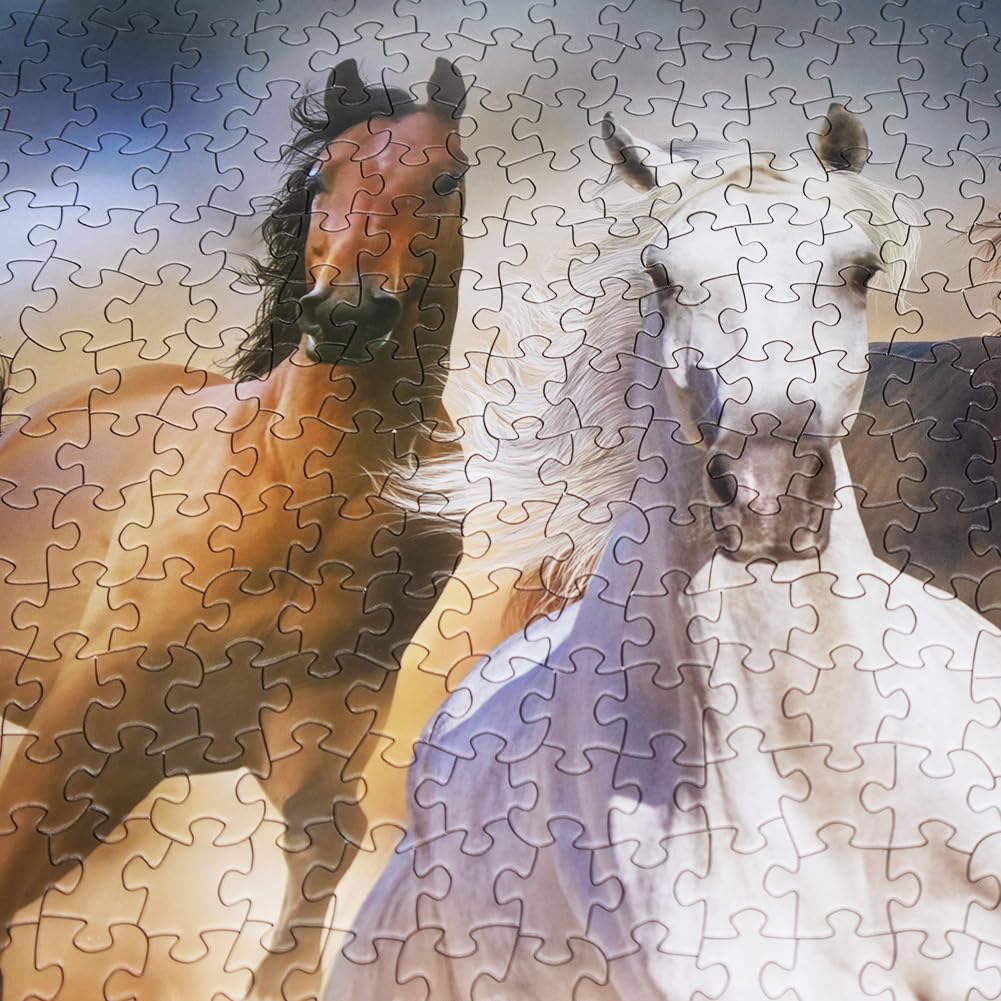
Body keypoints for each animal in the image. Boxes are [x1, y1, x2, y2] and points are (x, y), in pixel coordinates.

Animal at [0, 56, 468, 999]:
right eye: (322, 177)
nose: (345, 314)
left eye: (444, 179)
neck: (308, 493)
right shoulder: (78, 730)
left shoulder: (309, 745)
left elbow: (318, 879)